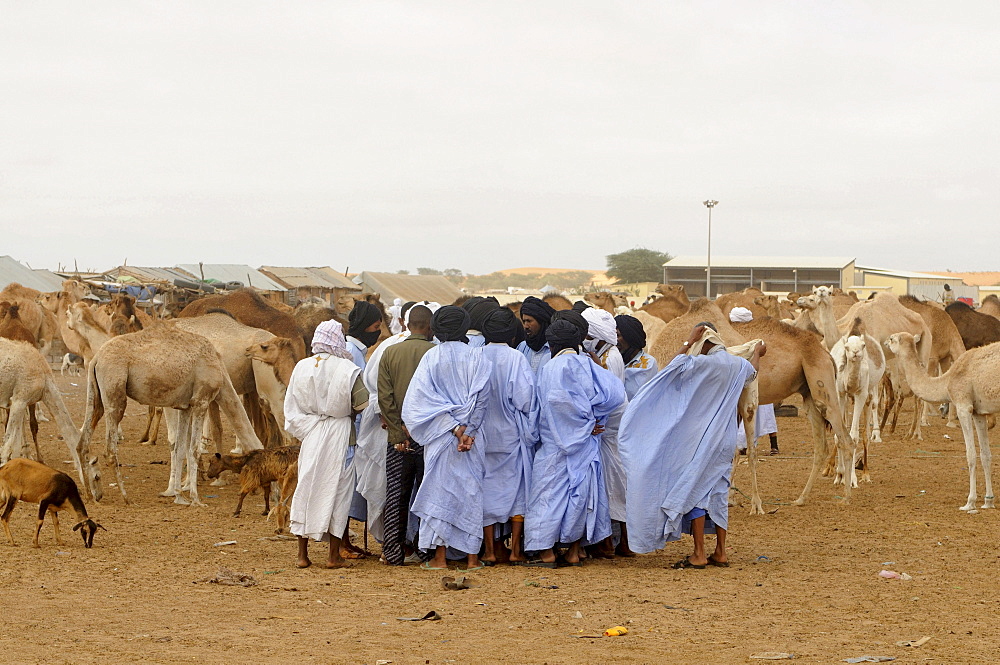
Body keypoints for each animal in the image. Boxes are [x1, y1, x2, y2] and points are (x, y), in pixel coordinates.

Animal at [0, 340, 100, 500]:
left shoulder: (21, 402)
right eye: (97, 476)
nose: (97, 496)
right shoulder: (19, 400)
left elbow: (15, 446)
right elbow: (7, 444)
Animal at [78, 322, 266, 504]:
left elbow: (180, 448)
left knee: (82, 443)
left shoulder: (185, 407)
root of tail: (96, 358)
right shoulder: (201, 401)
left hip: (95, 395)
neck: (219, 369)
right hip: (114, 391)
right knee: (110, 449)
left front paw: (179, 496)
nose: (267, 490)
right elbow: (194, 449)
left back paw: (89, 496)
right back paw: (126, 498)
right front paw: (196, 499)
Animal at [648, 298, 860, 510]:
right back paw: (801, 498)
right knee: (821, 445)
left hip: (821, 382)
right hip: (808, 392)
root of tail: (825, 352)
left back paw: (847, 495)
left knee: (845, 439)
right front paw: (729, 497)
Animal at [832, 316, 888, 482]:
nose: (856, 352)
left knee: (866, 434)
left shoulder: (860, 394)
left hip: (869, 393)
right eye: (847, 347)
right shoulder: (840, 393)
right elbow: (840, 435)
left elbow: (854, 437)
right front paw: (839, 475)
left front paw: (852, 479)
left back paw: (866, 474)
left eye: (863, 346)